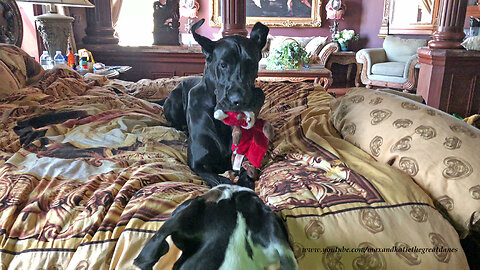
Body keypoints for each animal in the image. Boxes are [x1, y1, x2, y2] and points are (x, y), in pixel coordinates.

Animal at [164, 19, 270, 189]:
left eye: (252, 65)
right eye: (223, 64)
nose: (240, 101)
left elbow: (246, 173)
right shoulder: (198, 164)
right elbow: (222, 181)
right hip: (174, 104)